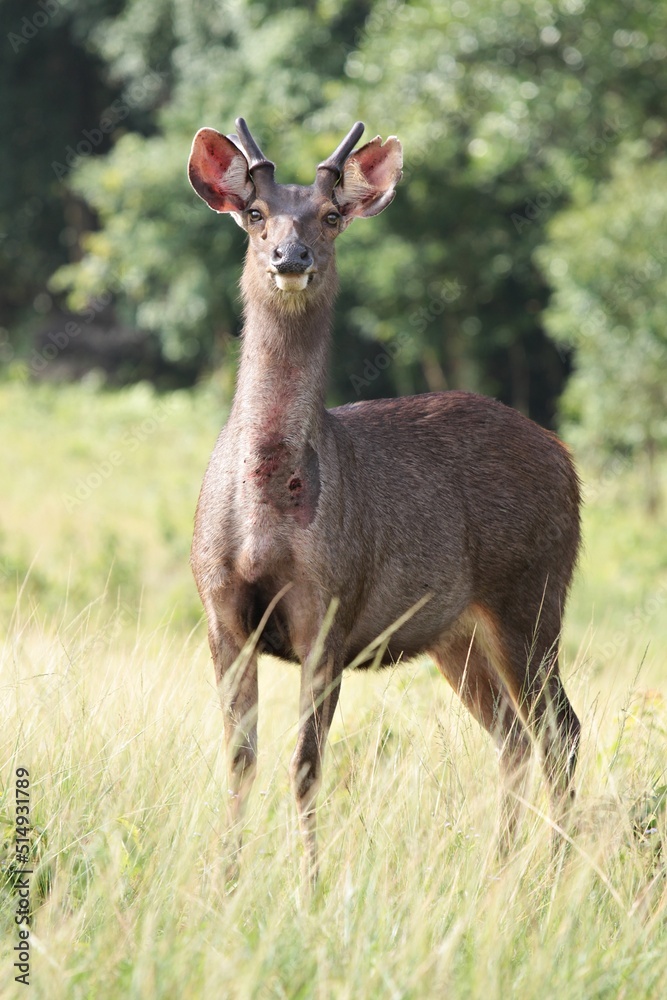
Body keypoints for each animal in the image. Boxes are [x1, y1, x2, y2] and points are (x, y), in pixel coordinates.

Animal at [187, 118, 582, 881]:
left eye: (331, 216)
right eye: (254, 214)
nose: (290, 256)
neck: (264, 514)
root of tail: (566, 459)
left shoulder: (330, 611)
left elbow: (305, 765)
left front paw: (309, 885)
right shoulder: (221, 612)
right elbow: (239, 759)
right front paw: (224, 879)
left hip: (533, 593)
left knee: (562, 733)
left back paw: (552, 873)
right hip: (456, 633)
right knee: (515, 737)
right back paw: (502, 870)